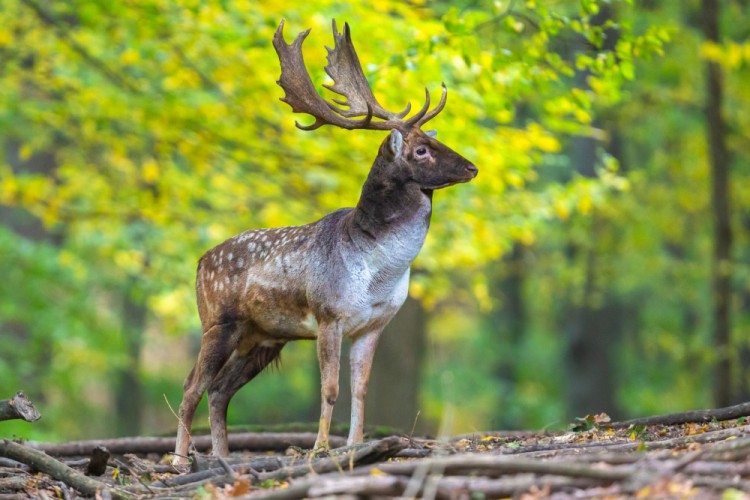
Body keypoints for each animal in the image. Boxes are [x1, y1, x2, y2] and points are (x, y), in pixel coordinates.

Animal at [174, 19, 478, 464]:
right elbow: (331, 388)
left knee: (218, 390)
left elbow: (361, 390)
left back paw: (224, 458)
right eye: (422, 149)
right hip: (217, 322)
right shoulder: (328, 314)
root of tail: (198, 262)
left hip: (263, 337)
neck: (378, 271)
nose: (472, 167)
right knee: (191, 387)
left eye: (436, 141)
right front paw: (320, 448)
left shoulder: (375, 323)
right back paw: (180, 460)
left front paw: (356, 446)